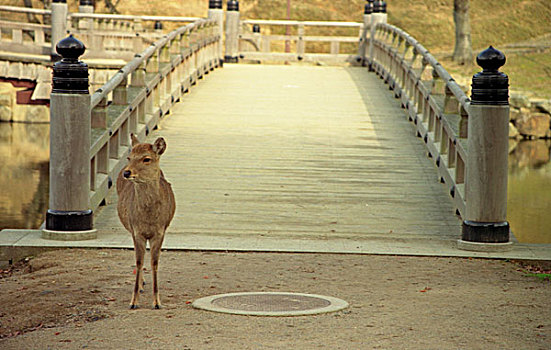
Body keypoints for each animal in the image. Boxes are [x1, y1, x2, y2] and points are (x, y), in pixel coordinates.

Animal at [117, 133, 176, 308]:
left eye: (146, 159)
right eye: (129, 157)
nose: (127, 173)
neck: (149, 218)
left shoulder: (160, 232)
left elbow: (154, 262)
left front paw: (157, 302)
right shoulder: (137, 231)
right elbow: (139, 261)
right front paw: (133, 302)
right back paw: (141, 285)